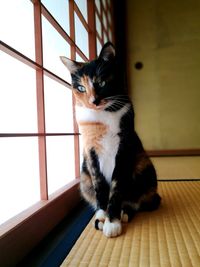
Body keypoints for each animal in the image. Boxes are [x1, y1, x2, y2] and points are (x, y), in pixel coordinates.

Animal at [60, 42, 161, 239]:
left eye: (101, 82)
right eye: (81, 88)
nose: (94, 101)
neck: (101, 118)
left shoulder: (123, 148)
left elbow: (116, 187)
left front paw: (112, 222)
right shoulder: (89, 150)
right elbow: (99, 185)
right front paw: (102, 214)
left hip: (143, 164)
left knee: (137, 201)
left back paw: (124, 212)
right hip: (84, 179)